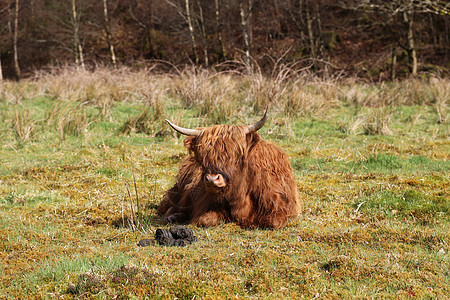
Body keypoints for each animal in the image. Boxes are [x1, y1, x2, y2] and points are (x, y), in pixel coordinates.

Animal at [156, 110, 300, 230]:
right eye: (203, 157)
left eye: (236, 156)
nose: (212, 179)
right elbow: (205, 220)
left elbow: (272, 222)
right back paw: (173, 217)